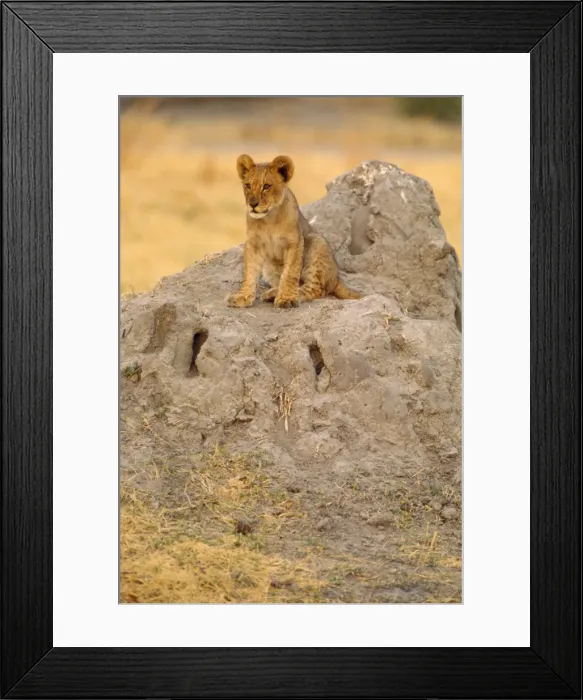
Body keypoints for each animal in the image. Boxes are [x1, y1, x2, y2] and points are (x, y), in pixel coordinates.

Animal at [226, 154, 361, 309]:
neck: (268, 219)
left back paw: (282, 294)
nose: (253, 204)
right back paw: (273, 292)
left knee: (315, 289)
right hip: (269, 266)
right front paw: (242, 297)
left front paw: (286, 299)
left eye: (266, 186)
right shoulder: (253, 244)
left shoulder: (294, 242)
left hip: (317, 242)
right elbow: (249, 272)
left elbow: (290, 273)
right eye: (247, 185)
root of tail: (337, 278)